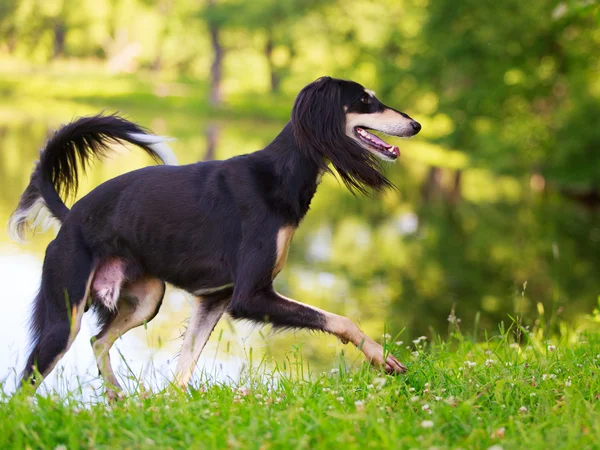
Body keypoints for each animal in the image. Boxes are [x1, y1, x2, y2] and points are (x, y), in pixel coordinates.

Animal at [9, 77, 422, 398]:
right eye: (365, 100)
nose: (416, 125)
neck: (279, 175)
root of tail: (71, 216)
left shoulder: (215, 299)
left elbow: (184, 370)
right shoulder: (249, 296)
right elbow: (341, 319)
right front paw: (383, 358)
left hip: (147, 300)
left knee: (99, 340)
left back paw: (117, 397)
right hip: (65, 316)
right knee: (26, 383)